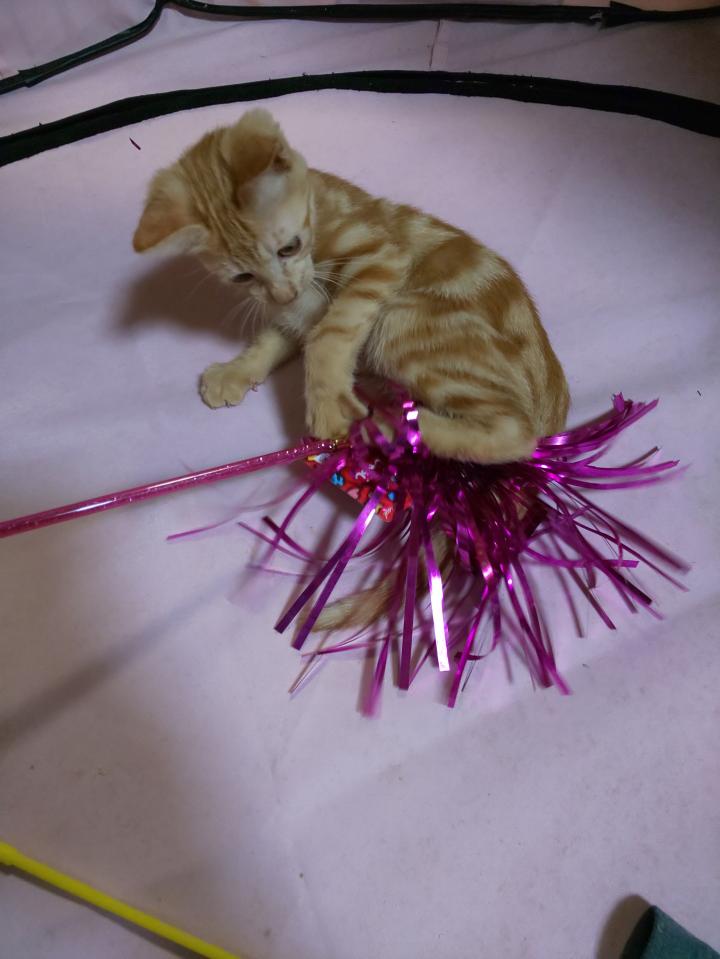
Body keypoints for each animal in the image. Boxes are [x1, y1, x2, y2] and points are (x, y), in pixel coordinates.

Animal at [133, 108, 569, 627]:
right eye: (241, 276)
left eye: (289, 247)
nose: (283, 291)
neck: (320, 210)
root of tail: (553, 405)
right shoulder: (293, 309)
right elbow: (275, 336)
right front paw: (236, 371)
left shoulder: (379, 255)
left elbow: (329, 333)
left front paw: (327, 402)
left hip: (405, 318)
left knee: (513, 431)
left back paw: (394, 423)